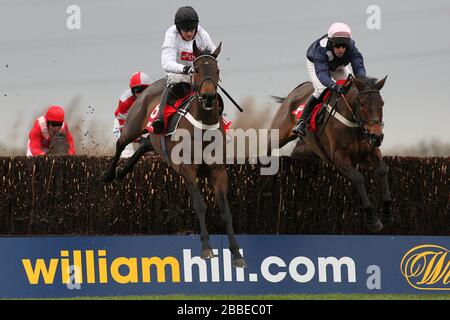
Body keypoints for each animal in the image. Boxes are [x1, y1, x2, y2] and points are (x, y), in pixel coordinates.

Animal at [103, 41, 246, 268]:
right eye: (196, 70)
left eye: (217, 70)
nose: (208, 97)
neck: (203, 127)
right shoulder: (188, 170)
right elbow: (200, 206)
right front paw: (207, 248)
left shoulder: (218, 171)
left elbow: (225, 212)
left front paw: (237, 254)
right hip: (132, 125)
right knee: (120, 142)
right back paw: (110, 173)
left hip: (154, 139)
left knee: (144, 145)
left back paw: (122, 171)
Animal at [268, 77, 392, 232]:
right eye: (362, 104)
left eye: (382, 104)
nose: (377, 136)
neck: (352, 122)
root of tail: (294, 91)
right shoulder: (339, 157)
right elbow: (358, 178)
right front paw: (372, 219)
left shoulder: (370, 152)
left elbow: (383, 169)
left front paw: (387, 212)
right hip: (277, 135)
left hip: (307, 148)